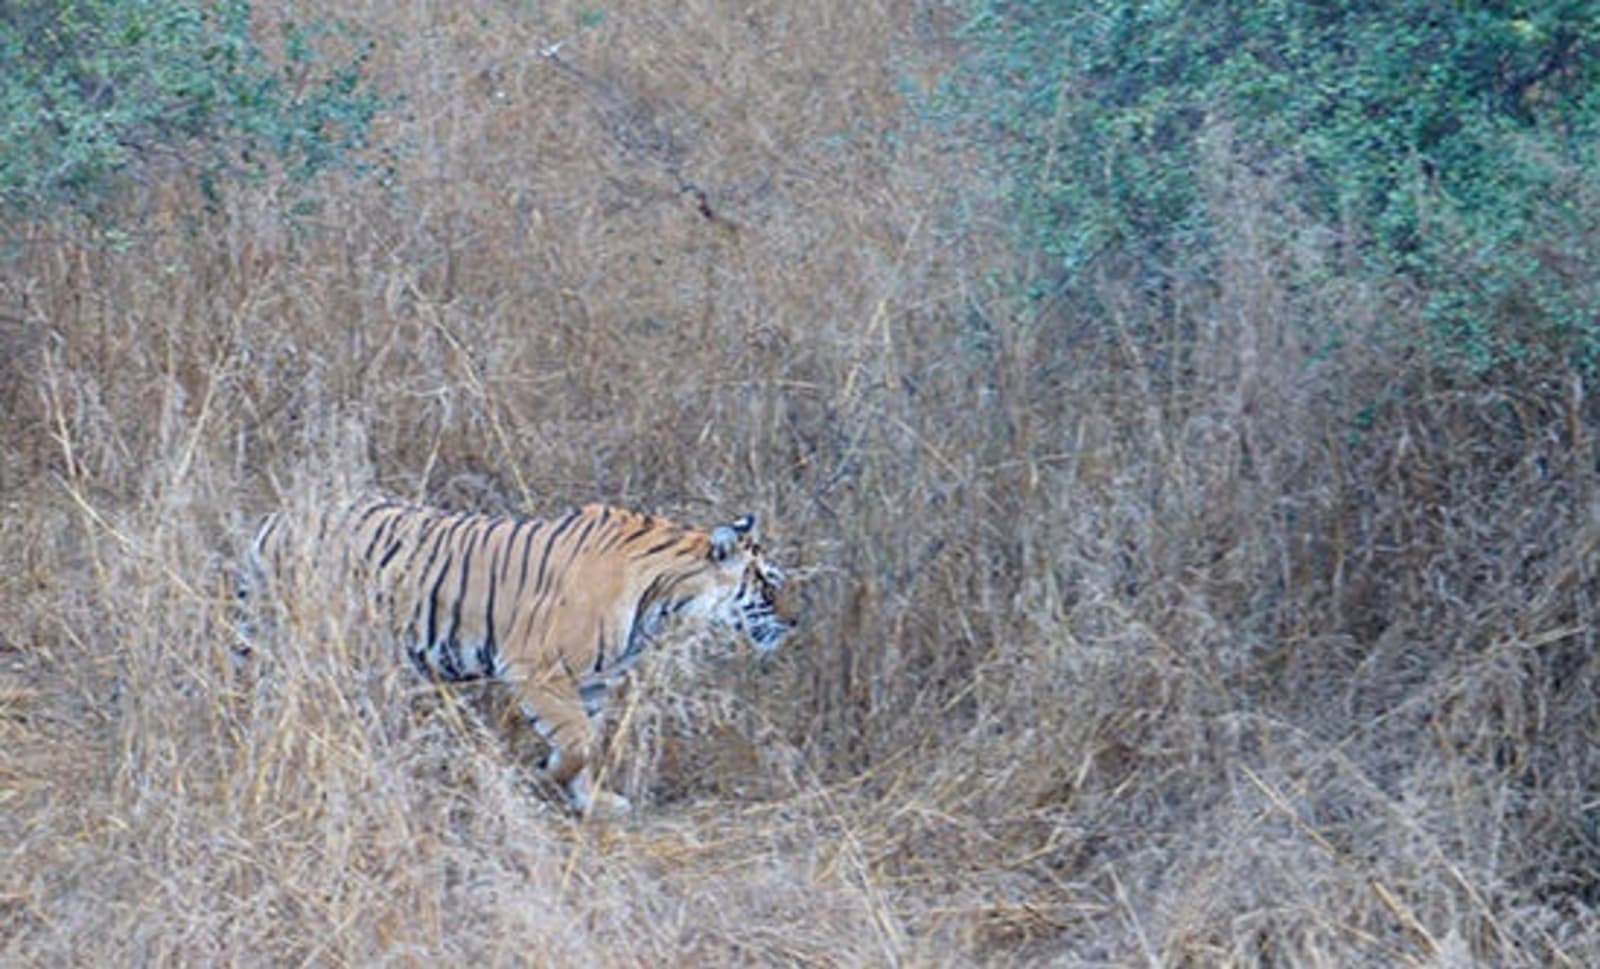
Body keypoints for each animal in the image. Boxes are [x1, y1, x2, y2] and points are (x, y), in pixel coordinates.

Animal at [243, 496, 797, 816]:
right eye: (769, 585)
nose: (796, 621)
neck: (665, 597)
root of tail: (275, 521)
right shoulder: (538, 671)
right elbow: (578, 744)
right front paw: (543, 776)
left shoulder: (593, 682)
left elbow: (589, 743)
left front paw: (591, 801)